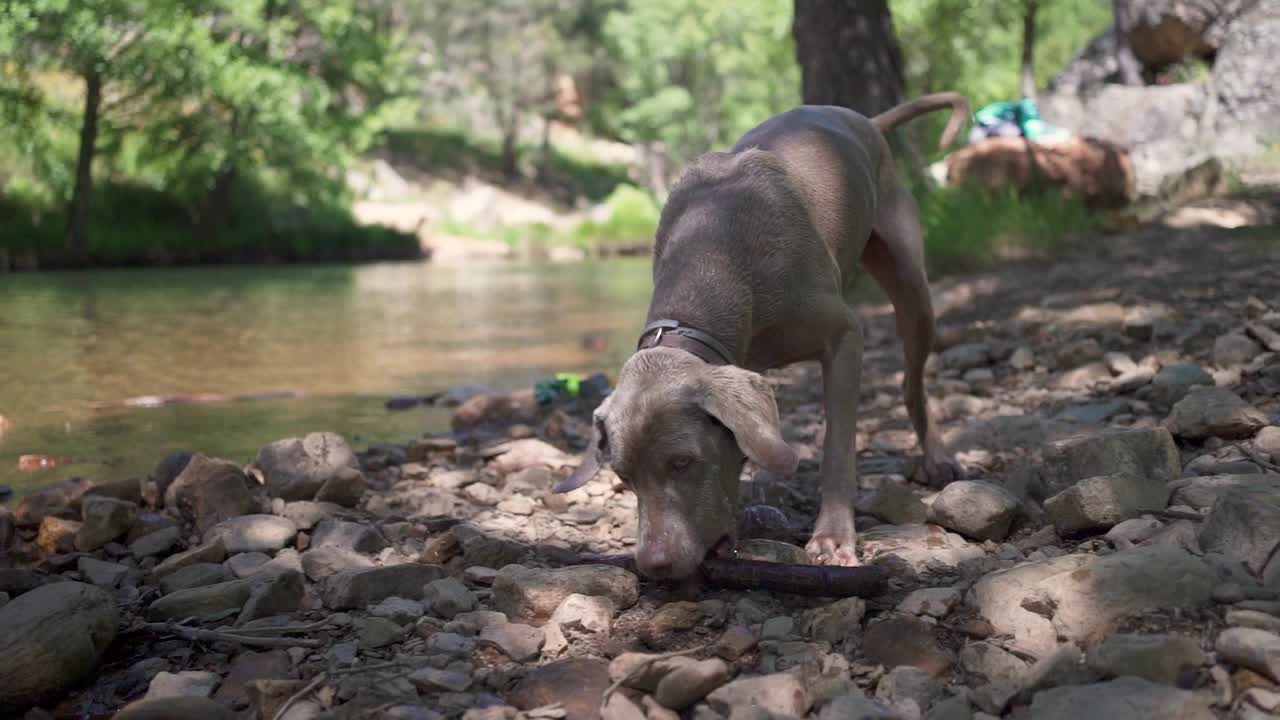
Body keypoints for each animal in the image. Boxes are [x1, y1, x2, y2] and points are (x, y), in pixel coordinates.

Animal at [555, 94, 962, 576]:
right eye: (623, 476)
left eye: (682, 462)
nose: (654, 565)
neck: (714, 253)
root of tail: (868, 122)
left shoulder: (845, 335)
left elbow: (837, 446)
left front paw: (833, 539)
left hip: (911, 283)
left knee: (912, 381)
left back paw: (936, 457)